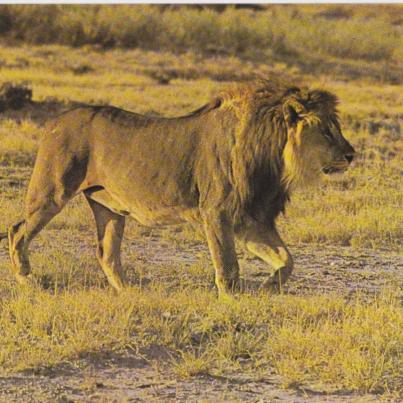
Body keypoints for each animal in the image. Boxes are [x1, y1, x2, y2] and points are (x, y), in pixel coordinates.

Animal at [3, 79, 356, 296]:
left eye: (336, 128)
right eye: (326, 131)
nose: (352, 155)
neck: (273, 155)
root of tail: (55, 120)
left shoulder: (250, 219)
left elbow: (287, 259)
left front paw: (269, 286)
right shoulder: (217, 212)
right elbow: (228, 266)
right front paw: (233, 302)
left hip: (108, 206)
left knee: (106, 252)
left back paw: (131, 293)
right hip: (53, 192)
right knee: (18, 229)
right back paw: (26, 280)